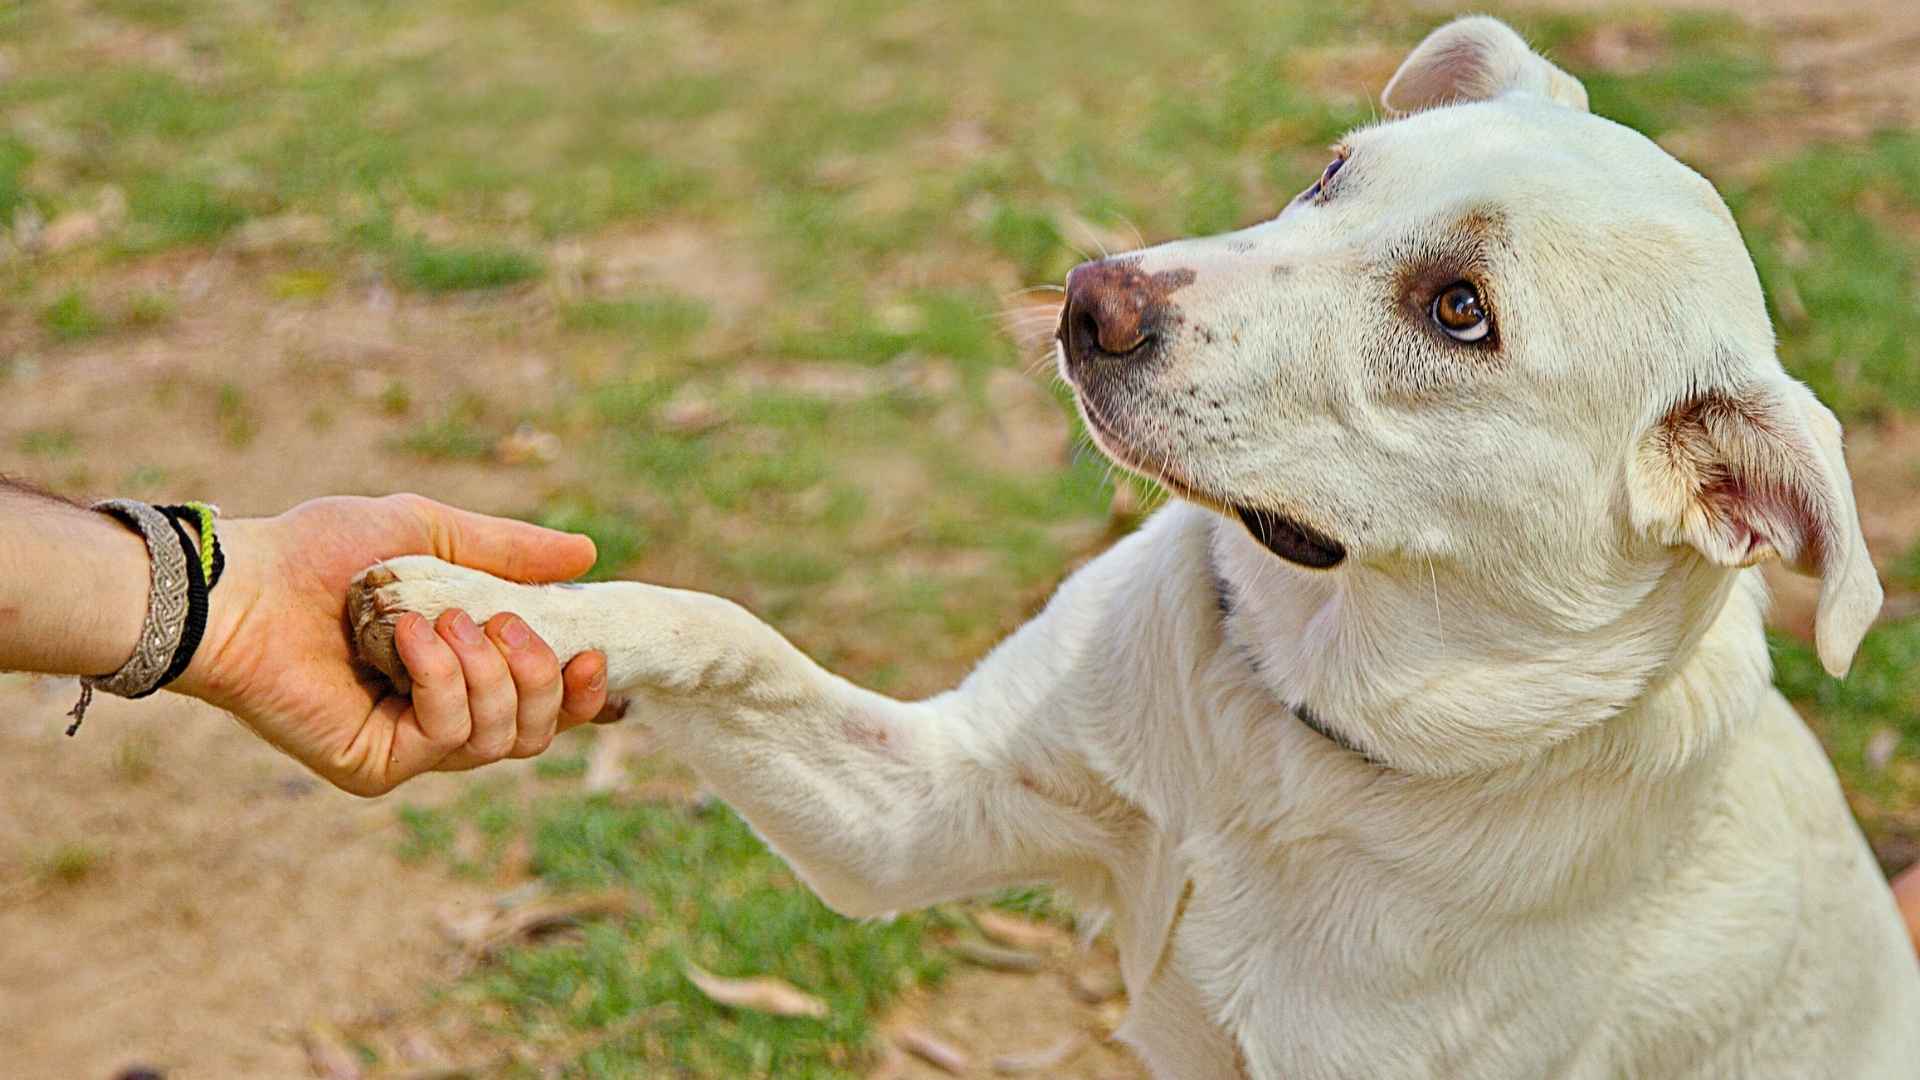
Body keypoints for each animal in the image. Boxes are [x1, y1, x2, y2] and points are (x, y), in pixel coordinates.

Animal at [349, 18, 1920, 1076]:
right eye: (1331, 174)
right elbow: (721, 630)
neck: (1293, 739)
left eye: (1459, 309)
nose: (1089, 296)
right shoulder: (920, 812)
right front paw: (482, 607)